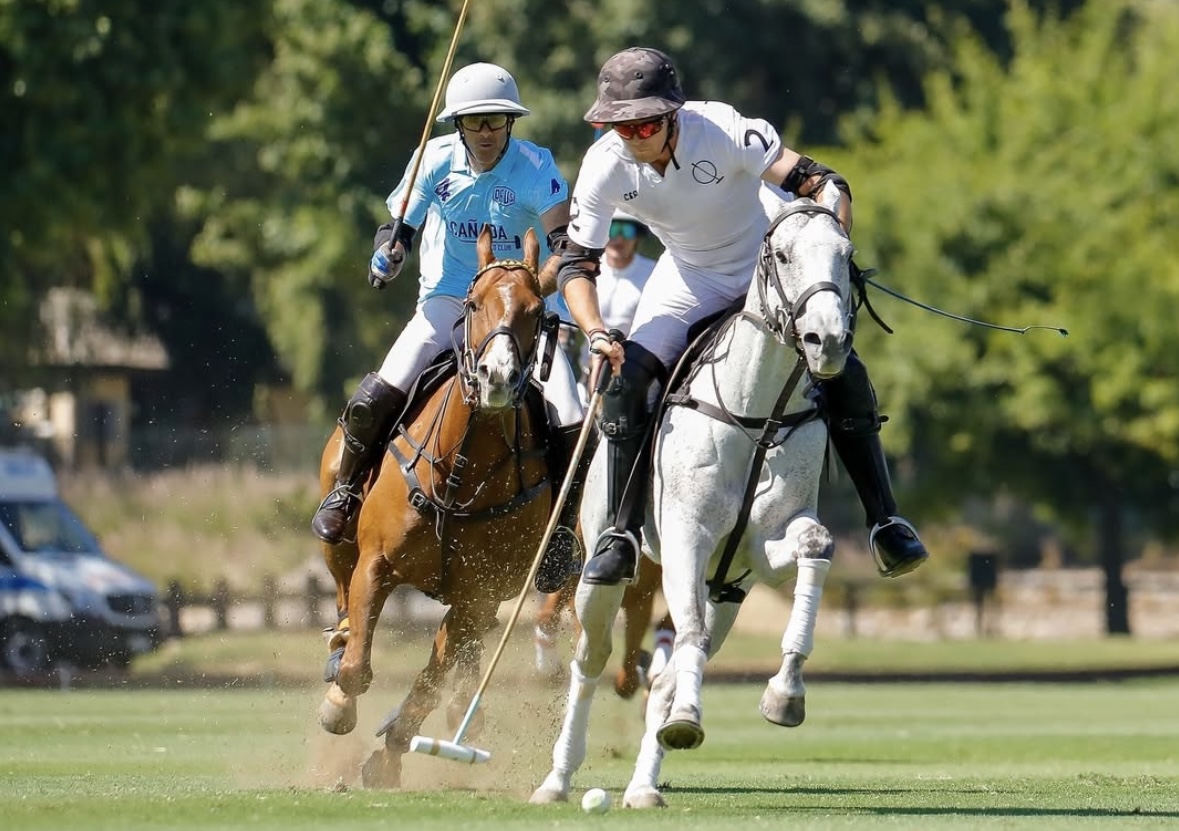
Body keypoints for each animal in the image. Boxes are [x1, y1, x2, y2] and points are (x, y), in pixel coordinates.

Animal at [318, 225, 556, 782]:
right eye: (472, 303)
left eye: (538, 310)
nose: (496, 378)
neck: (461, 473)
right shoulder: (377, 563)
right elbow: (358, 666)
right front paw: (340, 704)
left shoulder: (476, 597)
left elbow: (430, 680)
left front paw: (390, 753)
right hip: (336, 511)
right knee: (340, 585)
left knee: (459, 663)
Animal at [530, 180, 853, 801]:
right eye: (783, 256)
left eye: (846, 256)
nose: (827, 340)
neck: (758, 415)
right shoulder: (686, 536)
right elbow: (683, 637)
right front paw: (688, 720)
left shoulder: (755, 554)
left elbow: (815, 544)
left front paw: (785, 693)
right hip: (603, 570)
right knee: (592, 658)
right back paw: (557, 778)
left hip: (723, 589)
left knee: (672, 664)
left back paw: (642, 787)